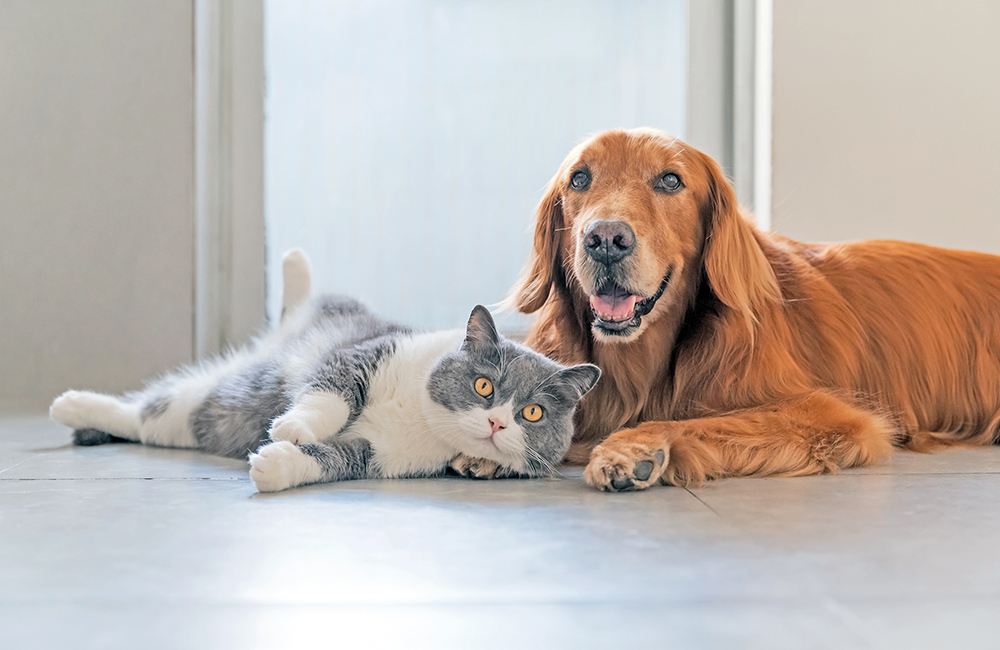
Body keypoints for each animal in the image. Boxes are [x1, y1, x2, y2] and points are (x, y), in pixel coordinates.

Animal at [48, 248, 600, 492]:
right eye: (484, 385)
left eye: (532, 413)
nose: (496, 422)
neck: (418, 417)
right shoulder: (360, 356)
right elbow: (330, 397)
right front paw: (293, 426)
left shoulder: (377, 454)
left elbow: (334, 457)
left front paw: (277, 463)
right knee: (135, 412)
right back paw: (69, 404)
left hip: (191, 420)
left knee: (140, 418)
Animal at [508, 128, 1000, 492]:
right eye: (579, 179)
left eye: (670, 180)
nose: (606, 239)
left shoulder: (830, 414)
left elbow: (695, 421)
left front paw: (631, 448)